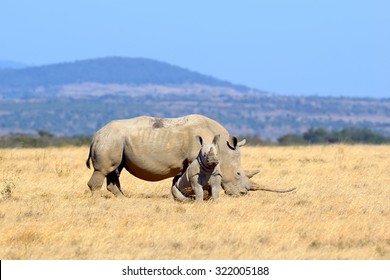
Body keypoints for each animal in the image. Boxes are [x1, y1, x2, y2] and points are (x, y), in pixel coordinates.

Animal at [85, 114, 292, 197]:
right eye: (238, 174)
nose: (242, 194)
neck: (223, 148)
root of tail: (96, 134)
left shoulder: (186, 163)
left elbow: (177, 182)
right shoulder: (196, 161)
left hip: (116, 140)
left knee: (115, 171)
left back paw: (124, 199)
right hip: (110, 139)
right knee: (104, 170)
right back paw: (97, 201)